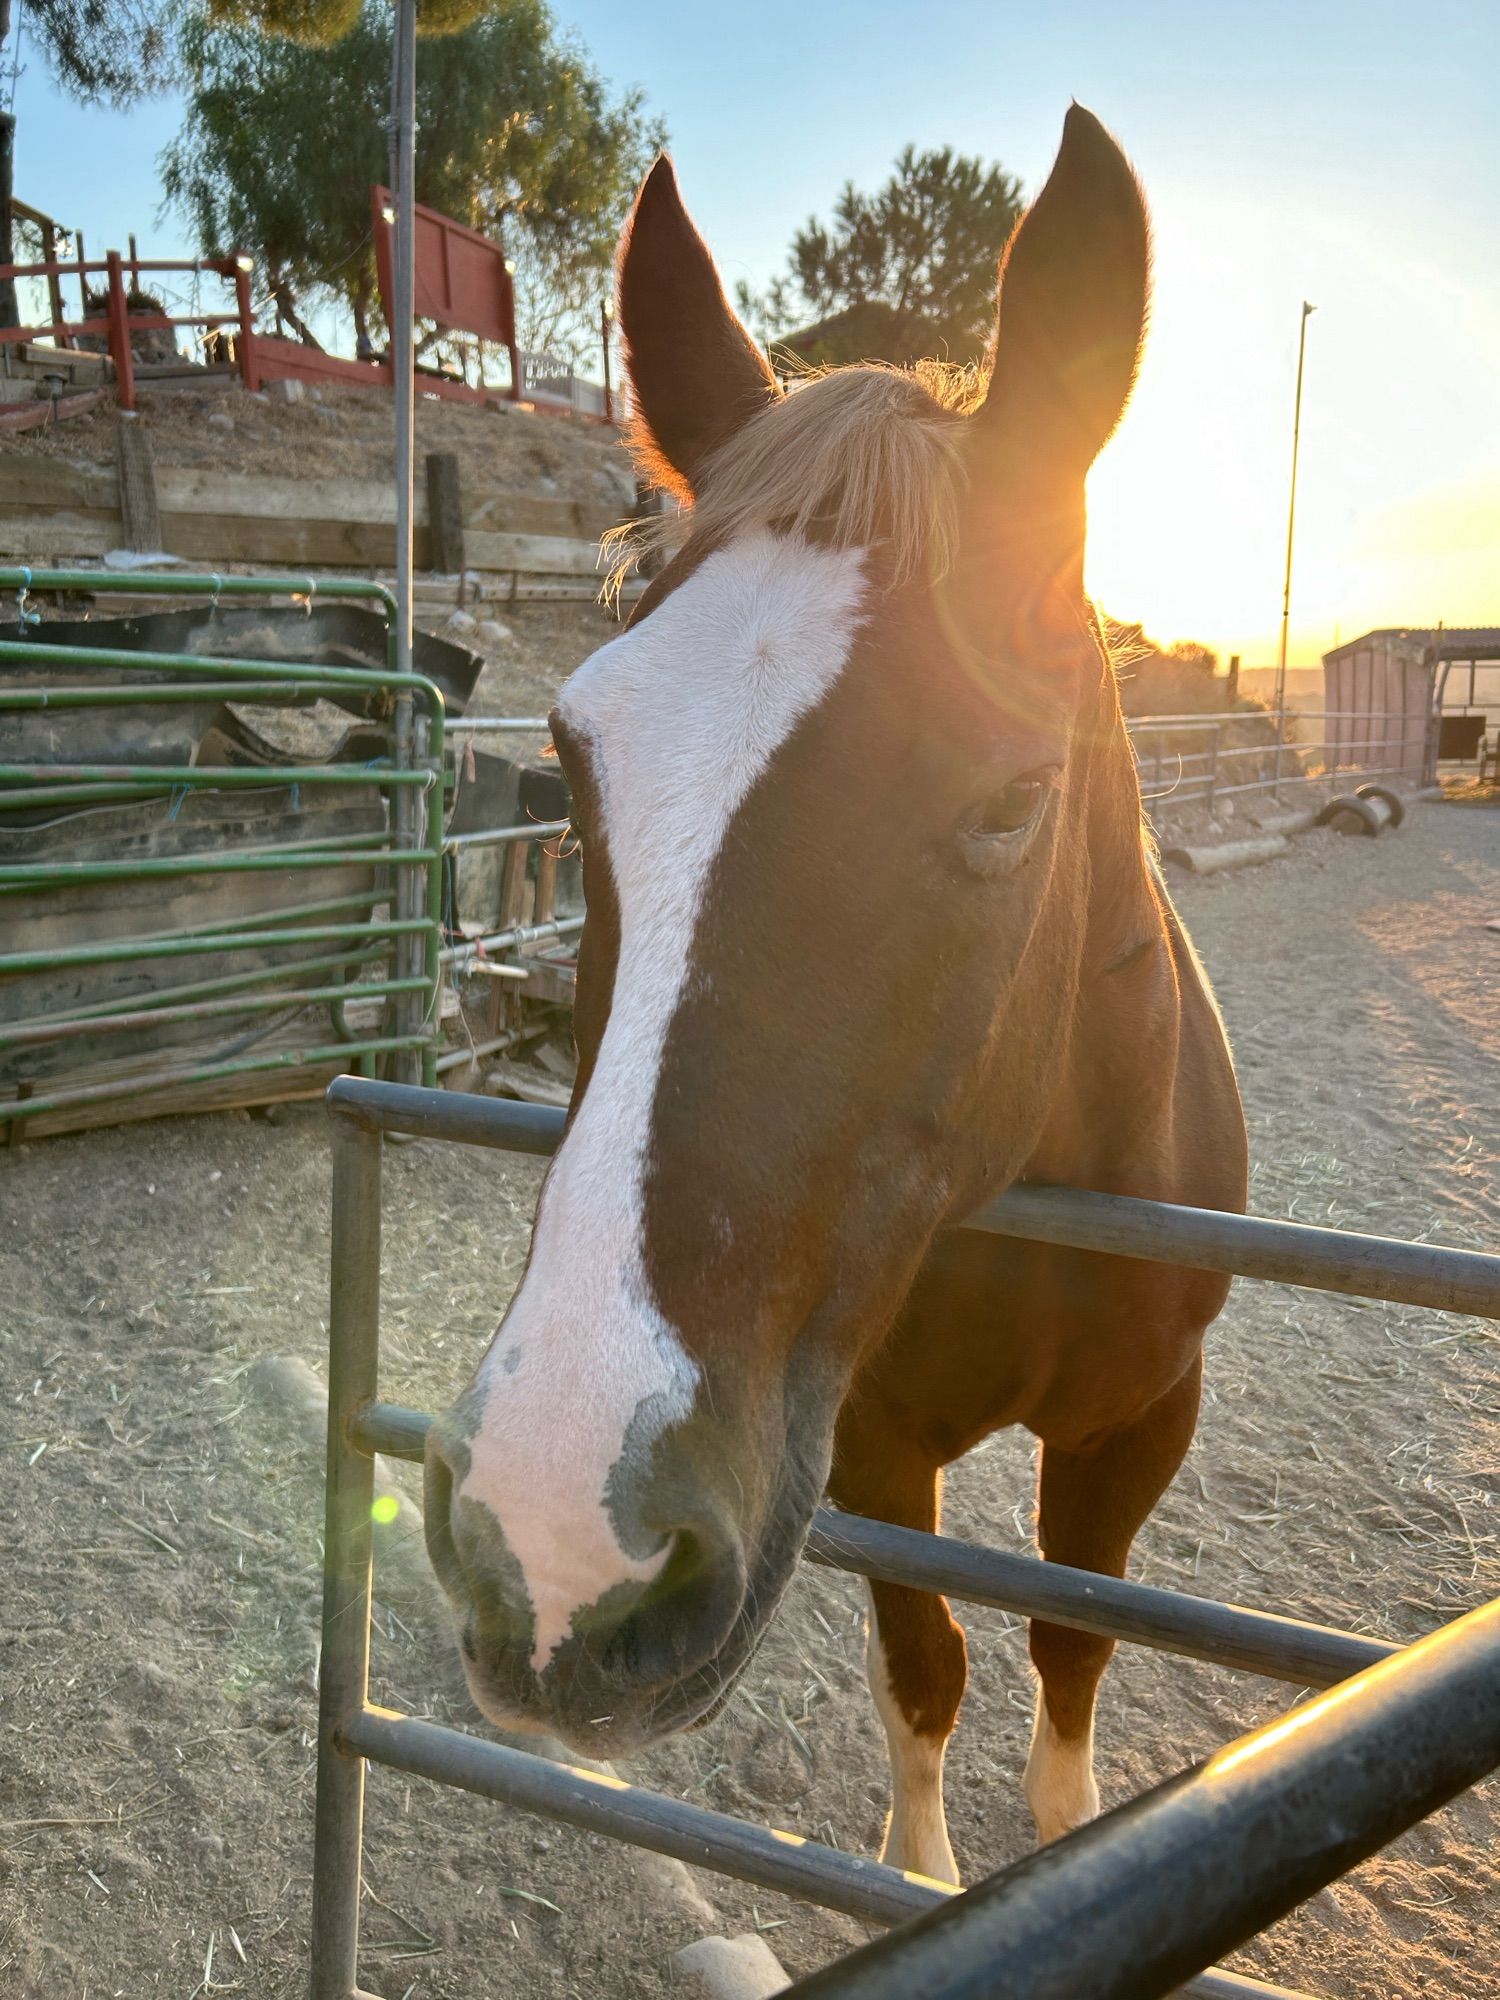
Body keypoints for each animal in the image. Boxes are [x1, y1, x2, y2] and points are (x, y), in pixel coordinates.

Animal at [424, 105, 1248, 1888]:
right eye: (571, 758)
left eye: (1015, 795)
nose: (559, 1547)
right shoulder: (868, 1438)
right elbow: (925, 1664)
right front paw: (919, 1875)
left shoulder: (1141, 1425)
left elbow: (1070, 1649)